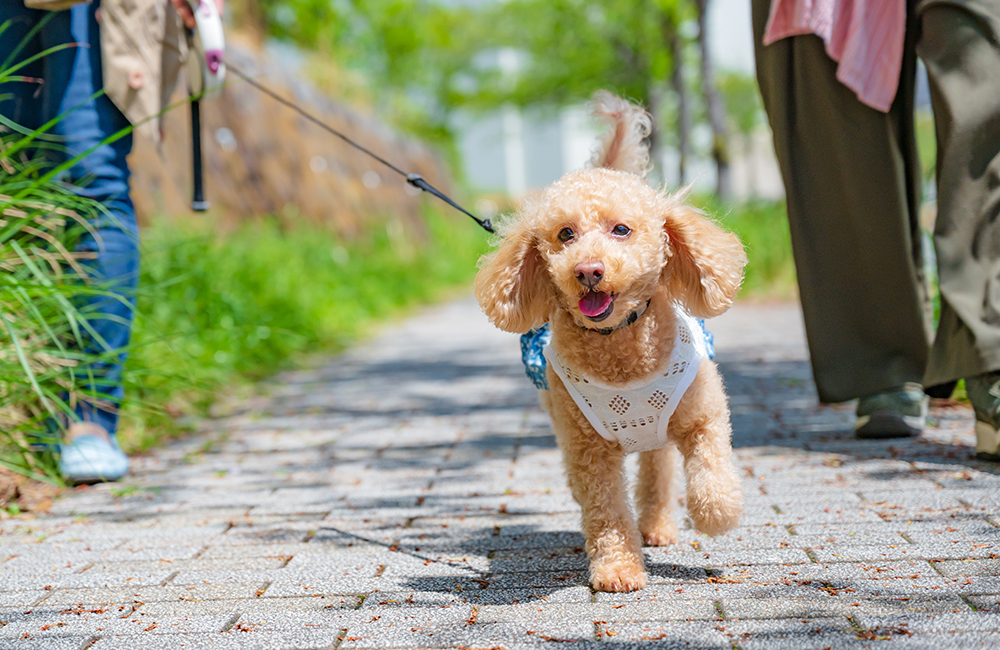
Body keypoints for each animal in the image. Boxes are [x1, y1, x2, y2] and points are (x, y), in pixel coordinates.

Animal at [472, 91, 748, 592]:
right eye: (565, 234)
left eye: (621, 229)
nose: (587, 271)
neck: (621, 349)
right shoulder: (589, 450)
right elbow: (606, 513)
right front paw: (618, 569)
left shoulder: (703, 417)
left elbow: (711, 470)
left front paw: (716, 514)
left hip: (662, 428)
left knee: (658, 470)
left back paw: (657, 527)